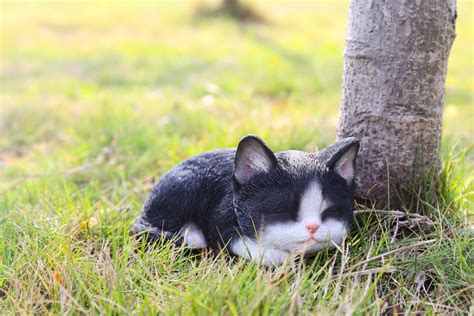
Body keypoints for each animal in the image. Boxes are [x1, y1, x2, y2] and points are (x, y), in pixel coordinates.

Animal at [131, 135, 362, 266]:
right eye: (283, 211)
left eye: (330, 212)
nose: (313, 227)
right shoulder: (219, 214)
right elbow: (233, 239)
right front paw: (279, 256)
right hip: (183, 187)